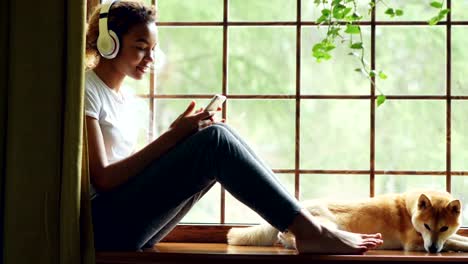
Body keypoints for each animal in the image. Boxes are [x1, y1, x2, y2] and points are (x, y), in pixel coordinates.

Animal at [227, 189, 468, 253]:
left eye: (443, 227)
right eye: (427, 226)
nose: (433, 250)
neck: (409, 210)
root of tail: (300, 206)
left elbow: (456, 238)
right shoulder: (415, 242)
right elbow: (456, 242)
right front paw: (458, 247)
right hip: (329, 224)